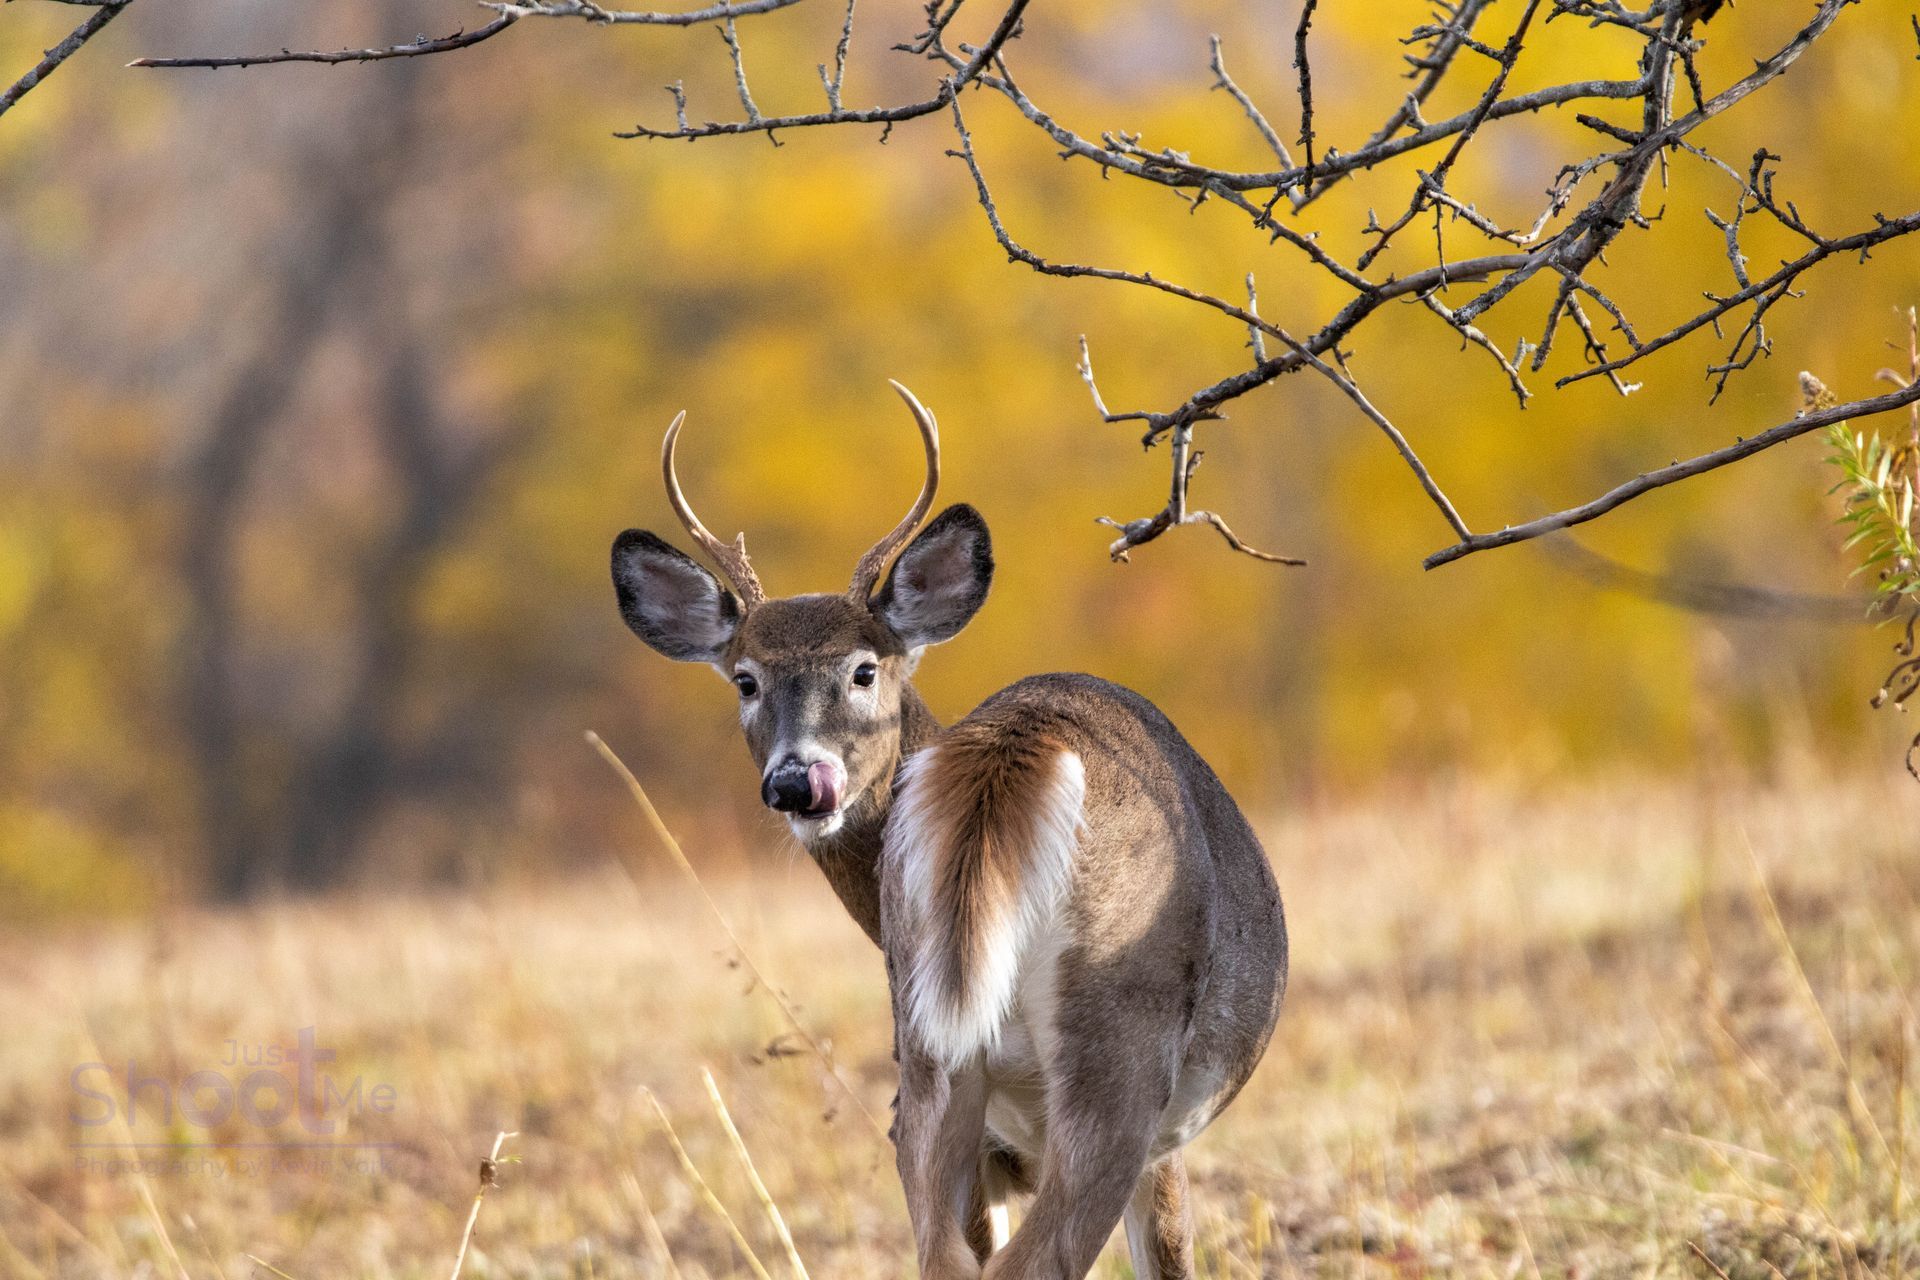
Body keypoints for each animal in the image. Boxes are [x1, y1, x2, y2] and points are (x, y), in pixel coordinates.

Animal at [610, 382, 1288, 1280]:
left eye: (864, 669)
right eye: (746, 680)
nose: (797, 781)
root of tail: (1011, 753)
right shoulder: (1164, 1138)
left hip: (928, 1048)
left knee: (946, 1254)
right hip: (1122, 1041)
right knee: (1039, 1256)